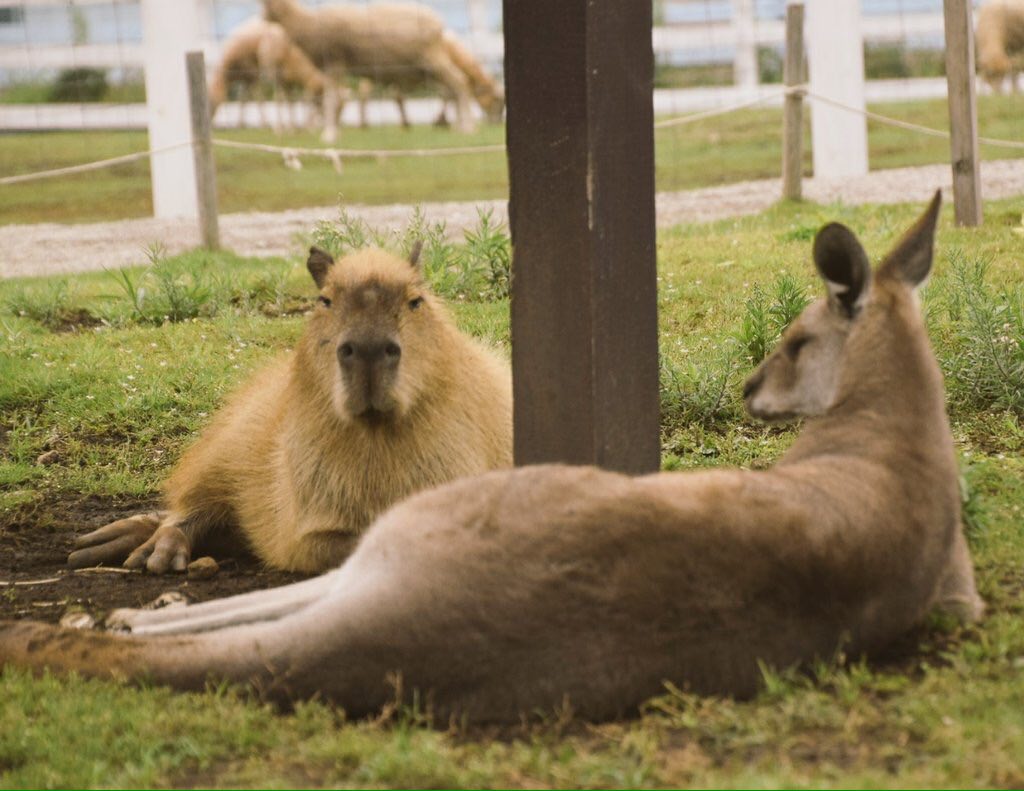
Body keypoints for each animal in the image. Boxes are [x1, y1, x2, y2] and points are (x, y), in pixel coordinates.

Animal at [2, 194, 982, 725]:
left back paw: (112, 612)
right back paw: (146, 563)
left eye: (793, 337)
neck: (896, 428)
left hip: (430, 520)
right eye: (323, 301)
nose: (749, 390)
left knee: (259, 604)